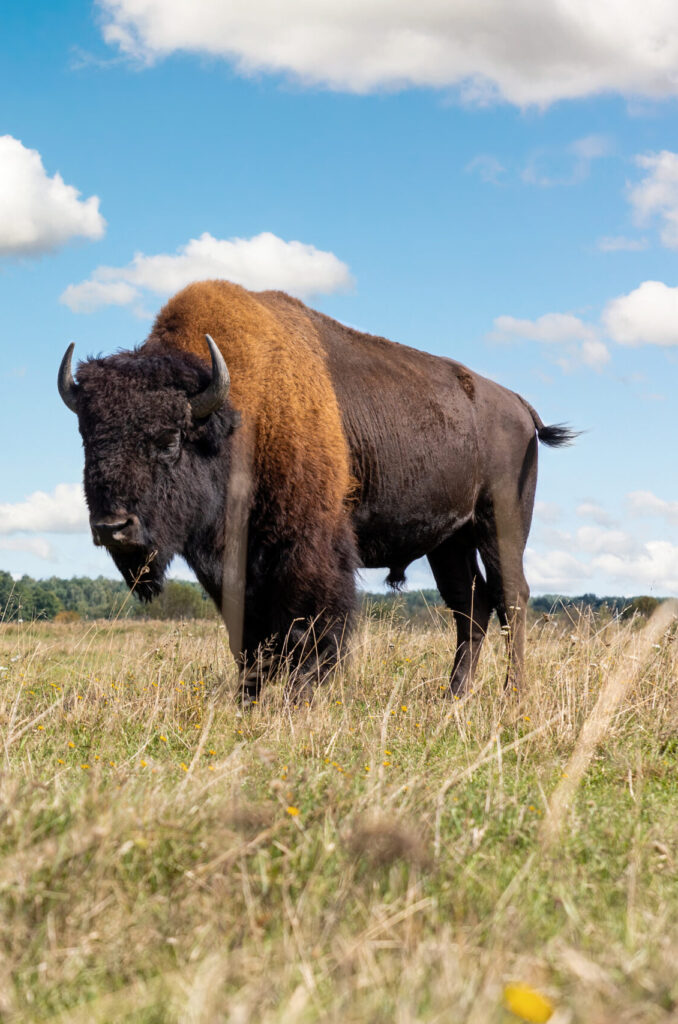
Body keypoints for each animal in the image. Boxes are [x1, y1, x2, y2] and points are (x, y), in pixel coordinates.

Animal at [58, 280, 574, 697]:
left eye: (169, 439)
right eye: (87, 436)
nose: (112, 527)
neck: (241, 415)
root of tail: (518, 405)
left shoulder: (309, 551)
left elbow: (307, 629)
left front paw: (298, 697)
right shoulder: (232, 567)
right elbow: (248, 637)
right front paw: (249, 697)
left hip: (500, 524)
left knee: (511, 598)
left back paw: (512, 695)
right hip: (449, 541)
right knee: (470, 606)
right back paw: (455, 696)